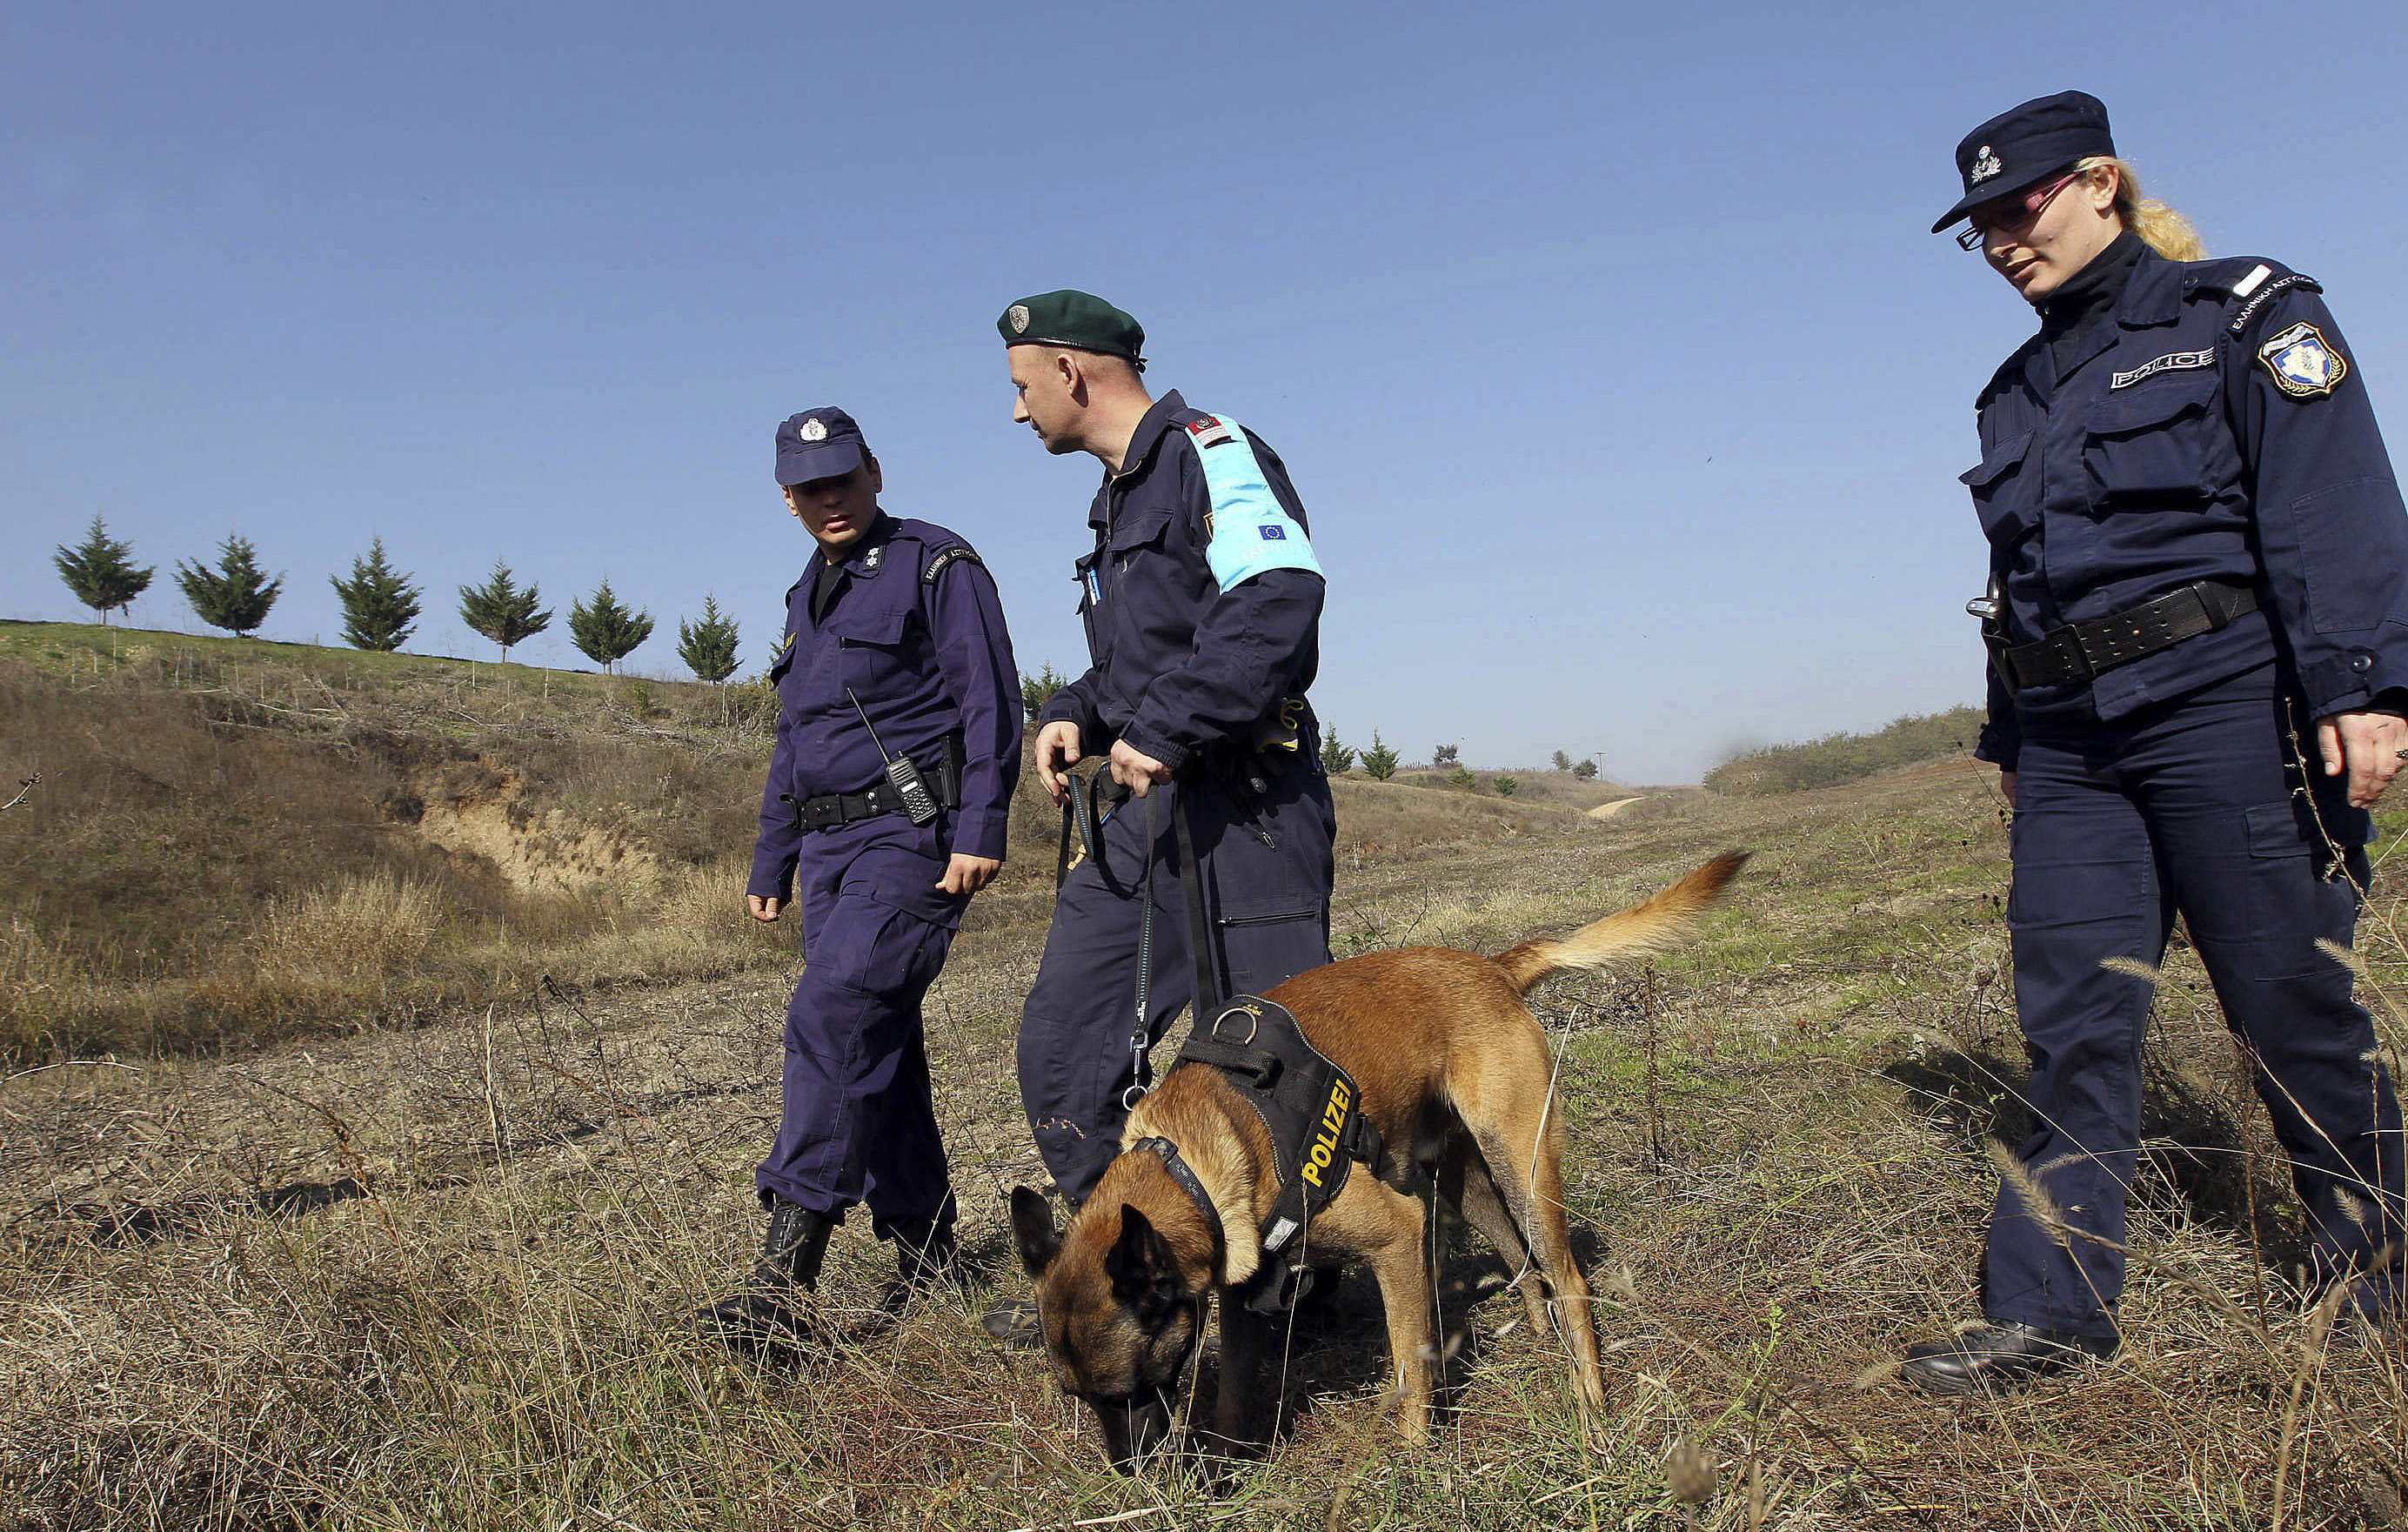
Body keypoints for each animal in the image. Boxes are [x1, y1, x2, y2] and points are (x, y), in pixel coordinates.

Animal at [1007, 847, 1743, 1474]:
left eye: (1129, 1388)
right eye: (1081, 1397)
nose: (1131, 1471)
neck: (1191, 1160)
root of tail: (1494, 966)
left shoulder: (1397, 1235)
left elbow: (1411, 1364)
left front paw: (1415, 1457)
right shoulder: (1245, 1293)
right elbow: (1235, 1391)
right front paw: (1224, 1464)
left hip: (1522, 1166)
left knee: (1568, 1276)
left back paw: (1590, 1403)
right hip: (1466, 1181)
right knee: (1521, 1258)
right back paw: (1541, 1337)